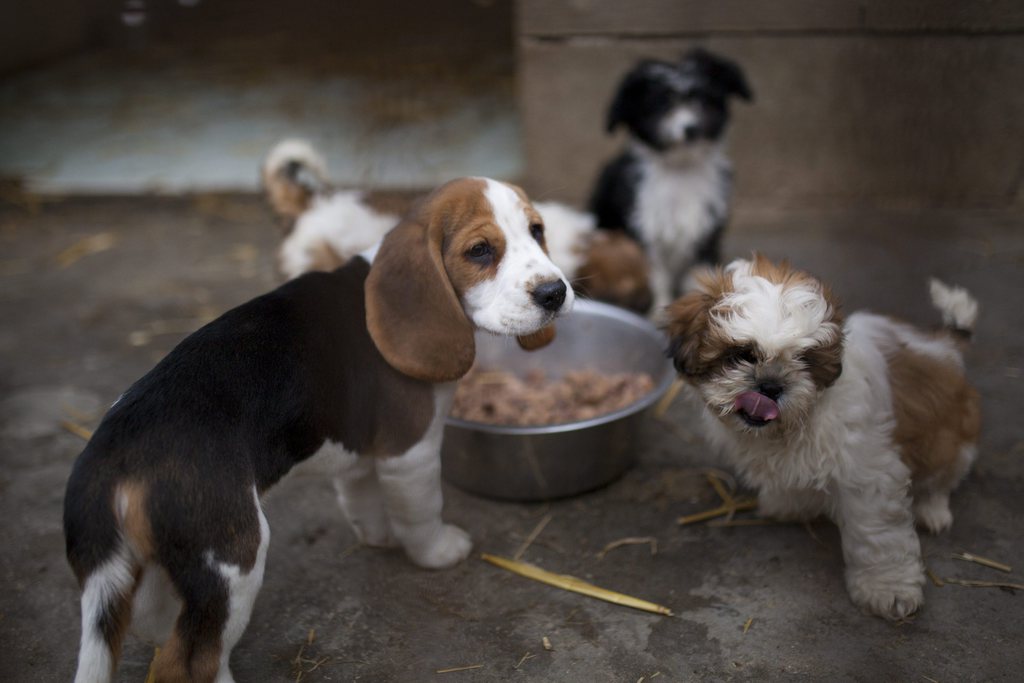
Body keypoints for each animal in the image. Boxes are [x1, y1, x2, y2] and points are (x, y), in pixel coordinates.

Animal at [64, 178, 577, 683]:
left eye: (537, 231)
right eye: (479, 251)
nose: (554, 292)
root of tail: (110, 460)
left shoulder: (358, 458)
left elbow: (361, 501)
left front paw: (378, 537)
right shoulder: (411, 454)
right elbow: (422, 512)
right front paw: (438, 551)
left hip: (147, 566)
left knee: (158, 627)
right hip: (232, 560)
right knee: (189, 661)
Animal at [593, 48, 753, 315]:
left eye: (702, 98)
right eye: (662, 104)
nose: (691, 129)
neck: (681, 168)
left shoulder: (707, 232)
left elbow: (698, 271)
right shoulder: (645, 228)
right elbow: (656, 276)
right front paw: (658, 311)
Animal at [667, 254, 978, 618]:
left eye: (804, 360)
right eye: (742, 354)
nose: (770, 386)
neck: (798, 420)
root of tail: (944, 343)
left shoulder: (869, 473)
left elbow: (877, 535)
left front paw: (887, 589)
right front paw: (788, 504)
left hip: (951, 436)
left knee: (944, 475)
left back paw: (932, 509)